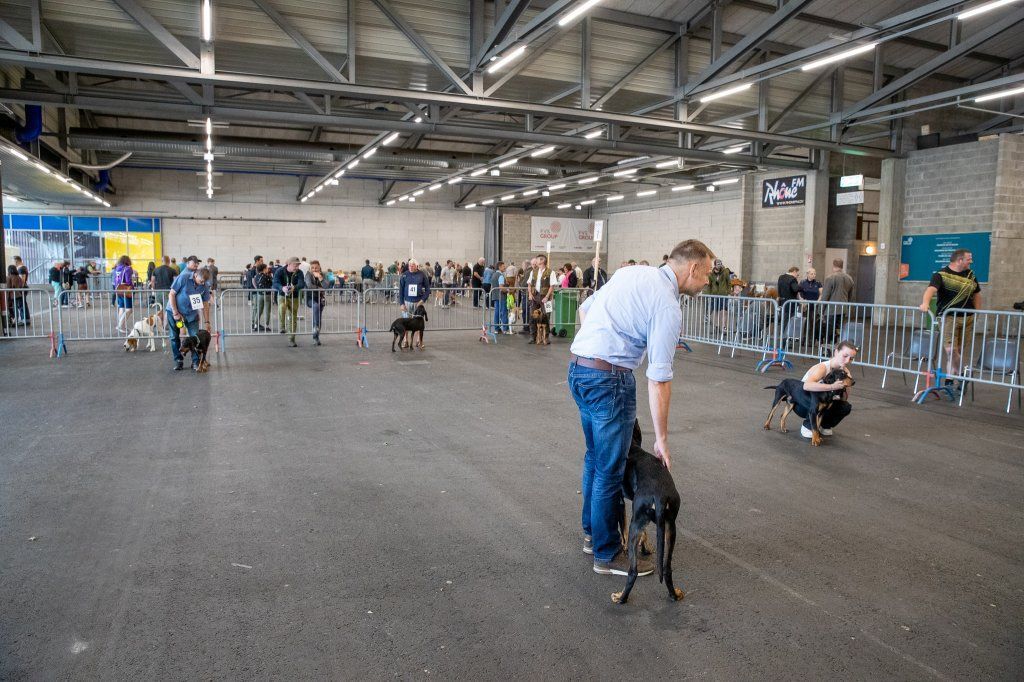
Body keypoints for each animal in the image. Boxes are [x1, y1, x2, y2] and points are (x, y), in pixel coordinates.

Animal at [610, 419, 684, 606]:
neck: (632, 447)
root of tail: (660, 495)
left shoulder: (620, 503)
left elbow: (623, 528)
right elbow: (645, 534)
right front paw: (645, 547)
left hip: (637, 523)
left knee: (633, 572)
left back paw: (621, 598)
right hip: (669, 527)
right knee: (667, 568)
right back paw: (674, 595)